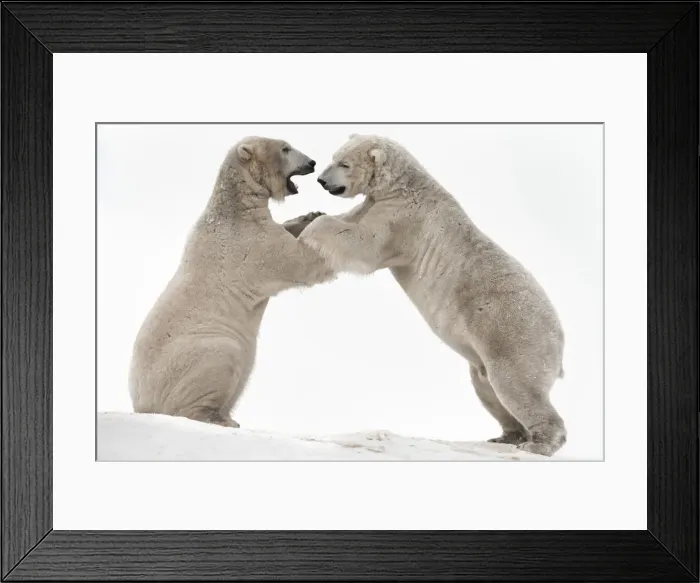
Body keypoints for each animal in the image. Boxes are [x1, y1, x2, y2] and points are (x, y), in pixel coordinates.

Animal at [129, 137, 334, 428]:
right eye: (285, 148)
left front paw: (310, 215)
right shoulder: (251, 244)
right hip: (197, 352)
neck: (235, 209)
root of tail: (141, 406)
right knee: (221, 359)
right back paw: (219, 418)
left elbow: (286, 230)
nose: (312, 163)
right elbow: (299, 261)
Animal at [301, 134, 566, 456]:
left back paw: (538, 443)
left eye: (344, 164)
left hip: (512, 335)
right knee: (487, 387)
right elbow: (351, 218)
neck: (404, 185)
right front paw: (306, 218)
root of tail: (560, 339)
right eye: (334, 157)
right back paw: (506, 436)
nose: (322, 180)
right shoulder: (377, 204)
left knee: (515, 386)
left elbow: (365, 244)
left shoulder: (403, 220)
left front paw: (312, 228)